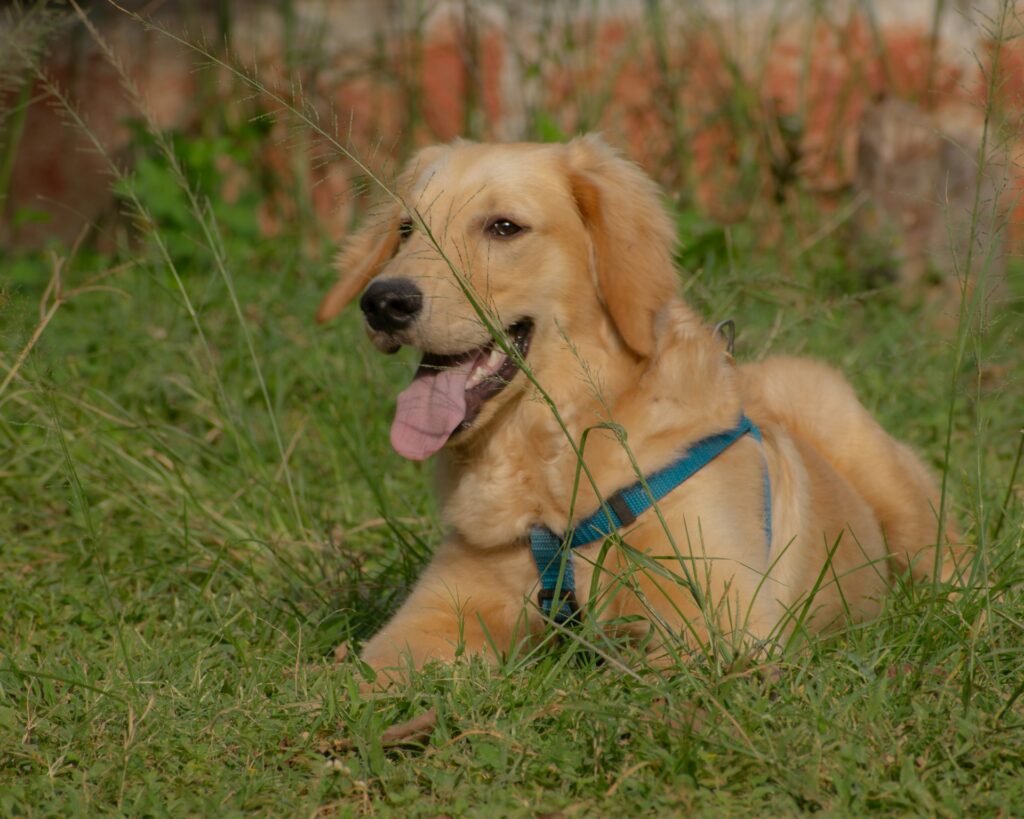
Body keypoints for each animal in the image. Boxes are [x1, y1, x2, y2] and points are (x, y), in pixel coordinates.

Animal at [315, 136, 962, 683]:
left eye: (504, 227)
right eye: (405, 229)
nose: (383, 302)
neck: (552, 457)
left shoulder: (723, 625)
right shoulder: (435, 613)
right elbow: (362, 677)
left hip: (892, 490)